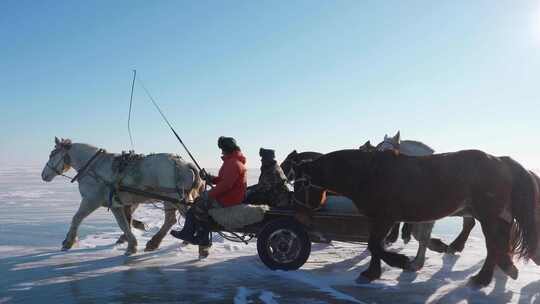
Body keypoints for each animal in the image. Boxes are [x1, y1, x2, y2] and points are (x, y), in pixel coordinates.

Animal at [41, 139, 204, 255]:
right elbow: (125, 222)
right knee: (173, 219)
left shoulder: (91, 200)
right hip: (174, 199)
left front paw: (68, 242)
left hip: (174, 198)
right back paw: (160, 242)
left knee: (184, 218)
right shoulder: (118, 203)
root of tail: (186, 164)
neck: (94, 167)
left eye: (52, 154)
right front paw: (131, 241)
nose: (43, 175)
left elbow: (77, 218)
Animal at [294, 150, 536, 288]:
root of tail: (501, 161)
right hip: (494, 216)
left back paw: (483, 278)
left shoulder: (386, 217)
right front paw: (372, 272)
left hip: (488, 216)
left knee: (493, 246)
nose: (300, 214)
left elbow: (375, 245)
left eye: (301, 184)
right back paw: (503, 268)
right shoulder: (377, 219)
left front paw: (400, 261)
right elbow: (374, 246)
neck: (368, 174)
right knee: (498, 244)